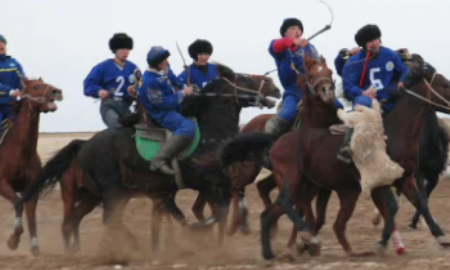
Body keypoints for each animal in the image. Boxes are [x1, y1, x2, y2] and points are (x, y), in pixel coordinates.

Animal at [0, 78, 63, 255]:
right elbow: (18, 203)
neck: (20, 150)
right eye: (35, 86)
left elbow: (30, 213)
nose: (57, 91)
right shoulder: (2, 183)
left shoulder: (31, 186)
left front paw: (34, 245)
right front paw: (13, 239)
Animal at [22, 64, 282, 254]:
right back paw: (133, 246)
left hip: (93, 195)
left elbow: (215, 212)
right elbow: (213, 213)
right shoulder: (208, 183)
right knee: (108, 218)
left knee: (75, 221)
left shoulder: (206, 186)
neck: (209, 133)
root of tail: (84, 144)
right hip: (113, 192)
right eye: (245, 79)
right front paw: (199, 233)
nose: (275, 88)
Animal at [222, 54, 450, 260]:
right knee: (275, 199)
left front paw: (441, 237)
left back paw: (271, 252)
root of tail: (277, 139)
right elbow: (392, 208)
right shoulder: (379, 182)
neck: (393, 132)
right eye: (446, 84)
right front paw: (382, 243)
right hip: (288, 177)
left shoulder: (405, 178)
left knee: (269, 212)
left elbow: (421, 203)